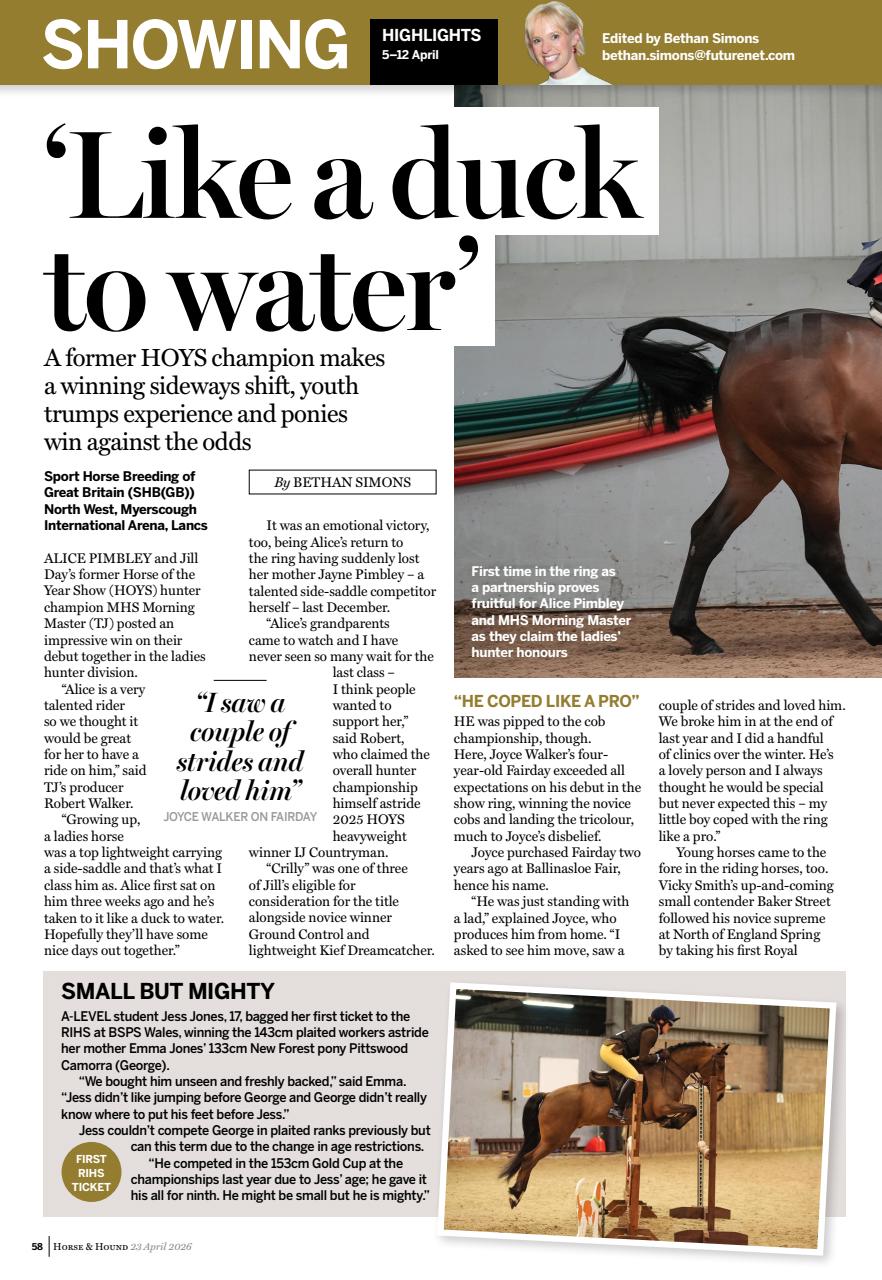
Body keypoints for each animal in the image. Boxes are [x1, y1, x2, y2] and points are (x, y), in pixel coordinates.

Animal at [501, 1041, 728, 1209]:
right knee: (529, 1159)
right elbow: (692, 1108)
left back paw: (516, 1193)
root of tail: (548, 1095)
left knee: (529, 1159)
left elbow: (691, 1110)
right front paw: (673, 1122)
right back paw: (515, 1195)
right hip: (555, 1138)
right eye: (720, 1066)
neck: (669, 1071)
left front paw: (669, 1122)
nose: (720, 1094)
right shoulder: (663, 1106)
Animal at [579, 310, 882, 654]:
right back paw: (876, 631)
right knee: (823, 550)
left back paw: (694, 634)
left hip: (754, 471)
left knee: (708, 532)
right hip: (811, 463)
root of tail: (736, 339)